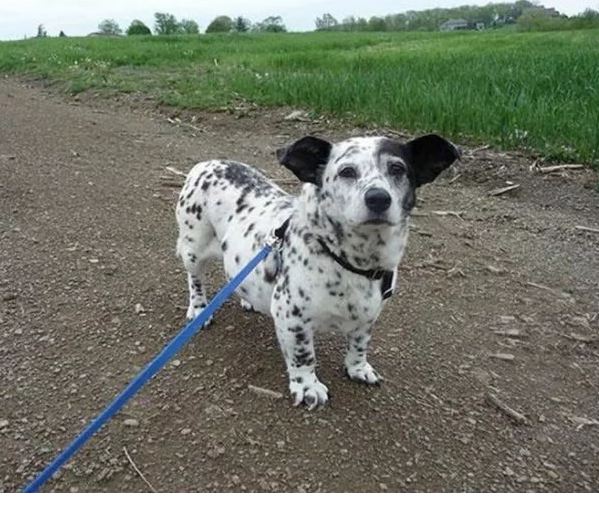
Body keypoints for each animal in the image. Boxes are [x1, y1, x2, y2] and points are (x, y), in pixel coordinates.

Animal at [176, 134, 462, 408]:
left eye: (397, 168)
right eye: (347, 171)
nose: (378, 198)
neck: (351, 262)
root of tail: (207, 163)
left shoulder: (369, 315)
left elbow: (360, 344)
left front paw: (358, 368)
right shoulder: (292, 318)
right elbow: (304, 355)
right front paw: (307, 386)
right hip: (194, 249)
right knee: (195, 279)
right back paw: (199, 309)